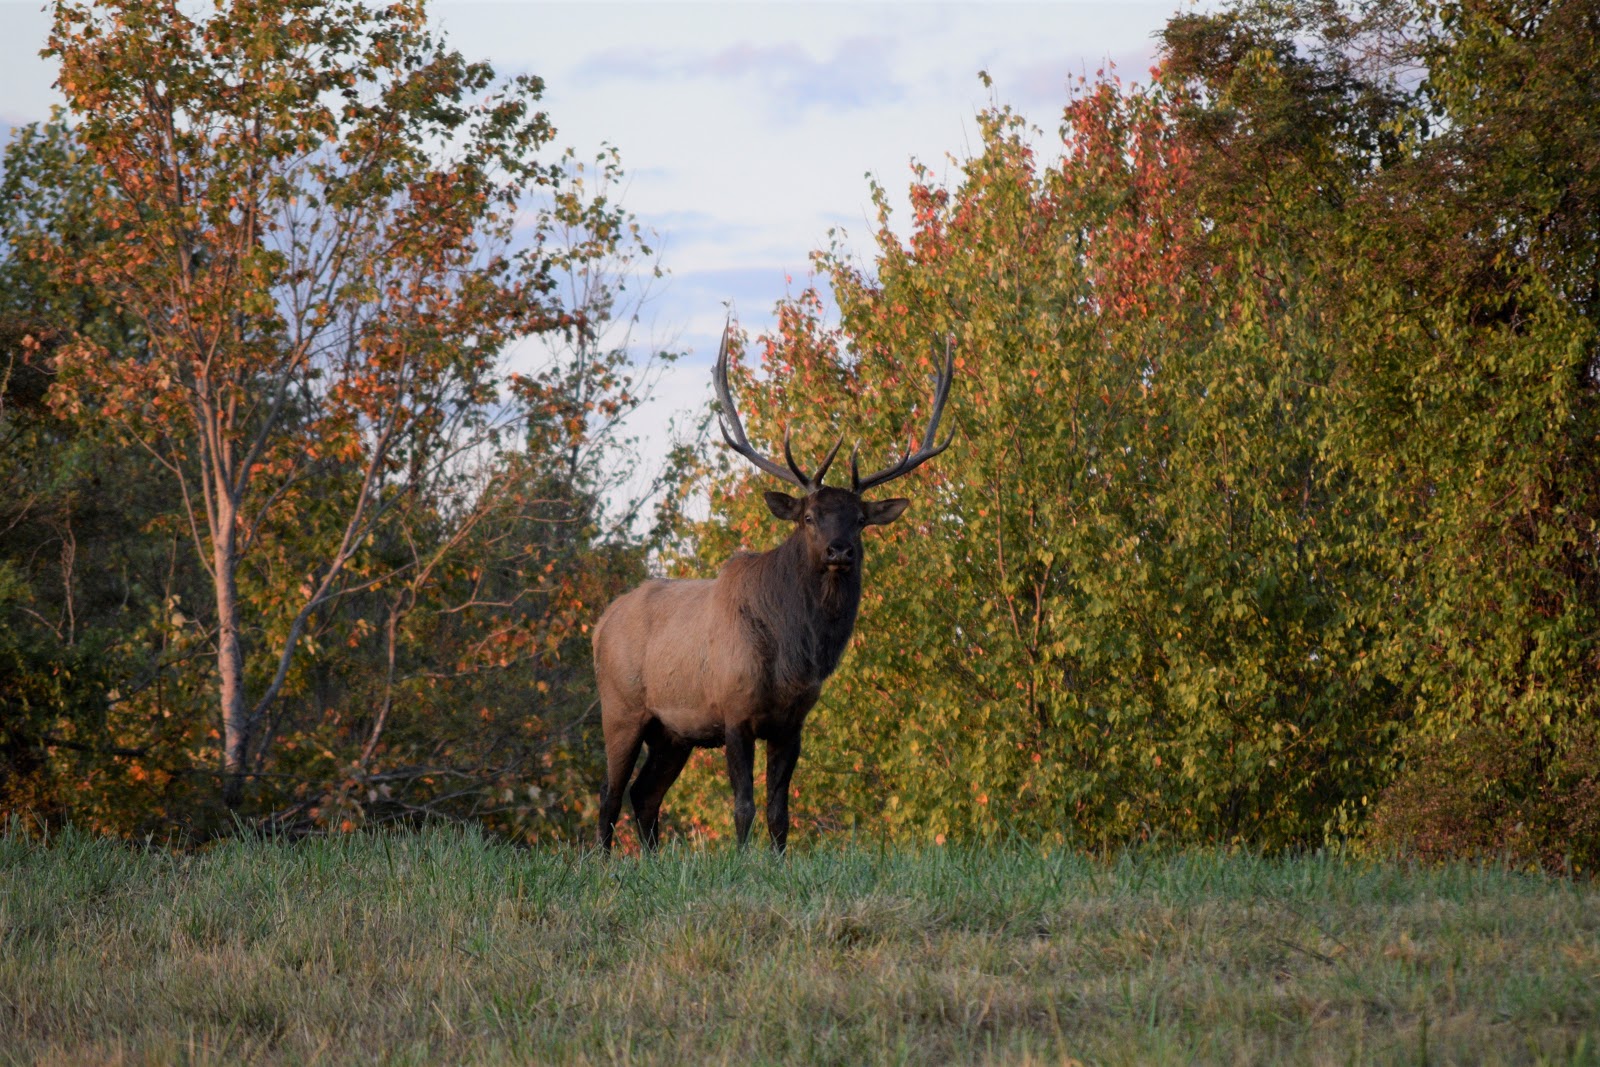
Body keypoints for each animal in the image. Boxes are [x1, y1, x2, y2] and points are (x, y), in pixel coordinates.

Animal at [592, 325, 955, 852]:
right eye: (809, 517)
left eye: (860, 519)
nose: (840, 551)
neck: (792, 658)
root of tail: (599, 624)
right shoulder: (733, 709)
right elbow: (743, 807)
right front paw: (741, 861)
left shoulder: (793, 721)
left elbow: (780, 811)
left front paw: (777, 859)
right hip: (621, 706)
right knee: (609, 795)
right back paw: (602, 861)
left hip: (673, 731)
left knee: (645, 795)